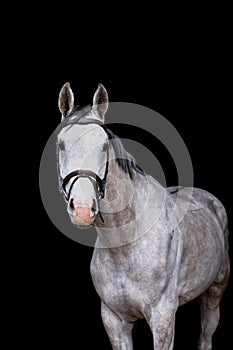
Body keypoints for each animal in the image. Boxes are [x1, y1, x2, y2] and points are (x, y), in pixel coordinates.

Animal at [56, 82, 229, 350]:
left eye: (103, 145)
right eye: (61, 144)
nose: (83, 210)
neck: (126, 243)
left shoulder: (162, 318)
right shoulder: (114, 320)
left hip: (215, 292)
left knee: (206, 335)